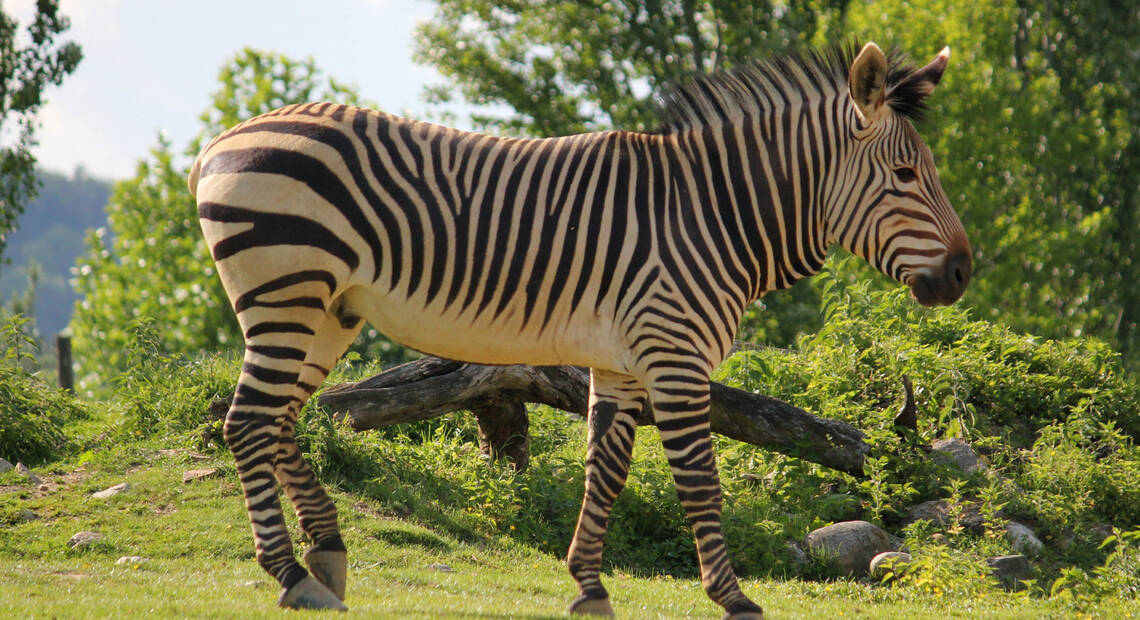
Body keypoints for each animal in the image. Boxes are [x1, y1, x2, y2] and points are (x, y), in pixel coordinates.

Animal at [188, 41, 970, 617]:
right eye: (906, 174)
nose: (963, 274)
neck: (715, 214)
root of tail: (223, 139)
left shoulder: (623, 361)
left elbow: (607, 472)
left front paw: (589, 588)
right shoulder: (675, 357)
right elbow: (700, 482)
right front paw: (734, 599)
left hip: (327, 311)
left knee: (279, 421)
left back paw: (325, 558)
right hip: (287, 294)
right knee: (248, 423)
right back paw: (290, 573)